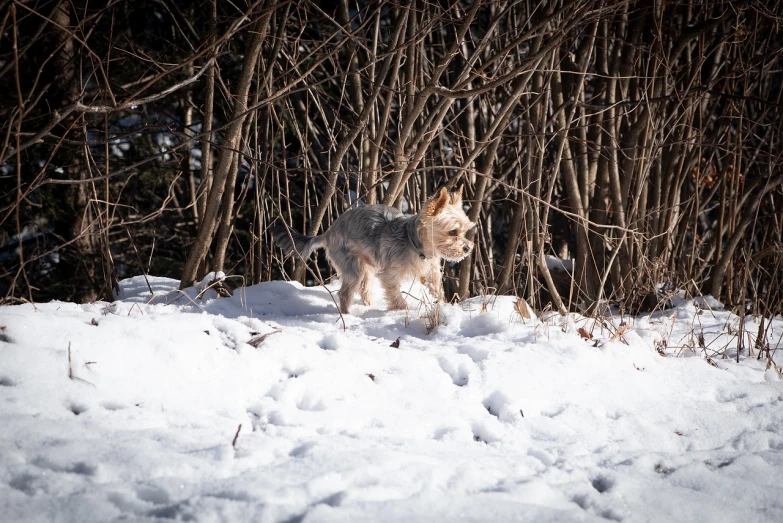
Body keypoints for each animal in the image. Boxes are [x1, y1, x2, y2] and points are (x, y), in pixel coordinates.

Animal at [272, 186, 474, 314]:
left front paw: (443, 305)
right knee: (345, 293)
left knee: (363, 288)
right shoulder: (390, 275)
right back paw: (348, 315)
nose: (467, 248)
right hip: (352, 265)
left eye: (465, 231)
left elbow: (437, 289)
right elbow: (395, 294)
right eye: (453, 232)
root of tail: (329, 232)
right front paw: (402, 311)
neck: (415, 244)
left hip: (366, 265)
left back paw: (367, 306)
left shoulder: (430, 272)